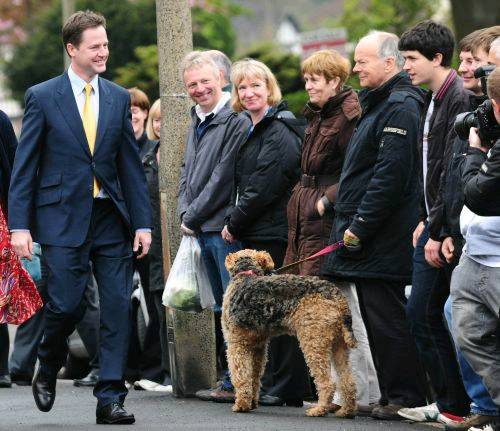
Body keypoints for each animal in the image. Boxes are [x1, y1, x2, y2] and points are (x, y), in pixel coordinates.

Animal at [222, 250, 356, 418]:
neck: (245, 274)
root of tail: (337, 295)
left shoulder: (236, 344)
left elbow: (241, 376)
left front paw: (241, 405)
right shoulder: (258, 346)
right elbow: (254, 376)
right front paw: (251, 403)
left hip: (313, 342)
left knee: (327, 382)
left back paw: (318, 409)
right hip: (339, 344)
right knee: (348, 381)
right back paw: (346, 411)